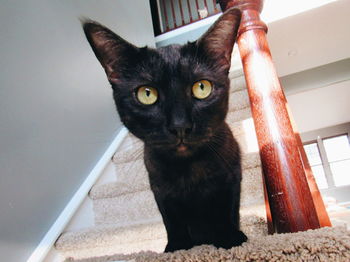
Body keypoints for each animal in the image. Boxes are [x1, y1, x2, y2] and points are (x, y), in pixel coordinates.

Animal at [82, 7, 246, 251]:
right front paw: (177, 247)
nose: (180, 126)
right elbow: (172, 220)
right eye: (146, 94)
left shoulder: (231, 175)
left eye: (202, 88)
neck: (189, 169)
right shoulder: (160, 190)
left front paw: (231, 238)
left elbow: (226, 210)